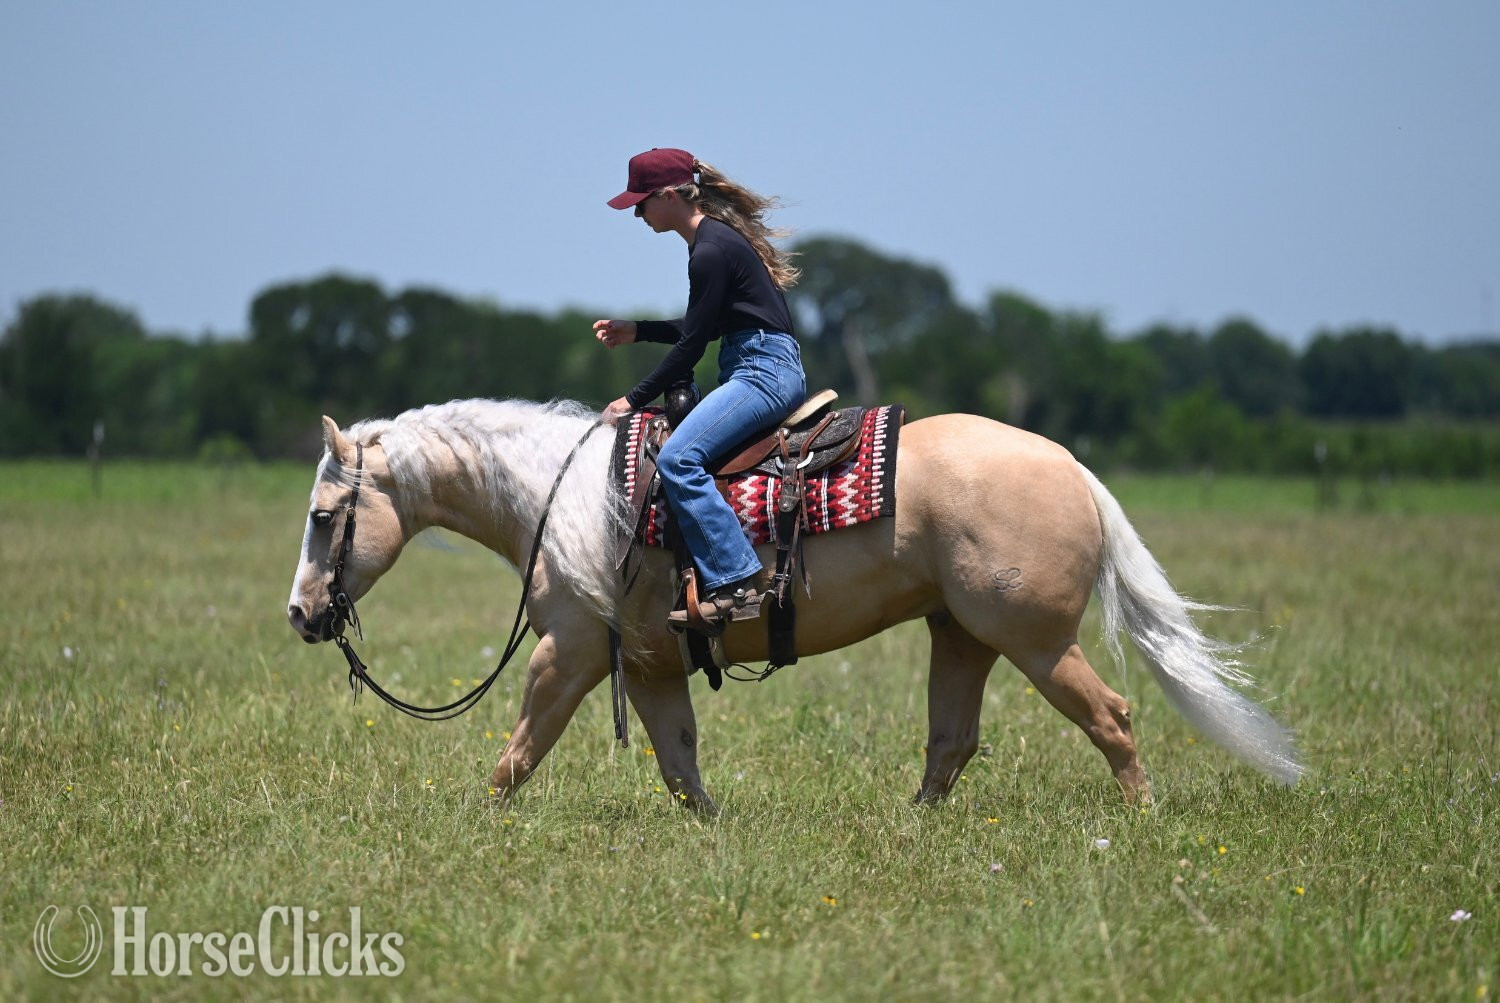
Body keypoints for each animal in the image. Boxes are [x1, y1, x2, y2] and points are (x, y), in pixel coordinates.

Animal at [286, 398, 1301, 814]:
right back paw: (909, 828)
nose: (300, 615)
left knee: (1113, 716)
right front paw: (715, 831)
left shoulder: (568, 650)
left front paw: (476, 823)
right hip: (962, 634)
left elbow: (519, 751)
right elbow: (678, 763)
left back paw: (1140, 821)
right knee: (951, 742)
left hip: (1037, 640)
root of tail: (1071, 466)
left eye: (324, 515)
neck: (563, 495)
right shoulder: (647, 663)